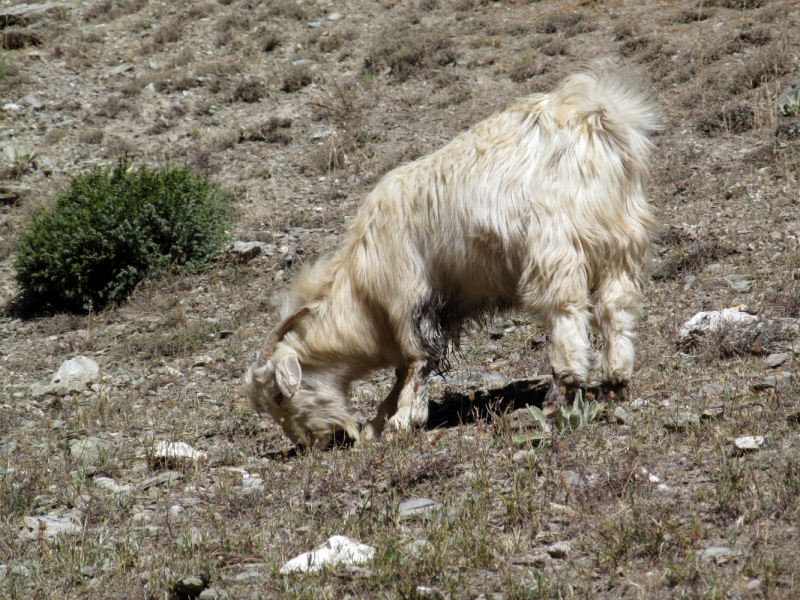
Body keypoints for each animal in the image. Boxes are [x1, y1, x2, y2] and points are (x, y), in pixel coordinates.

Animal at [247, 68, 660, 448]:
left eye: (280, 396)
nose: (310, 443)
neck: (363, 288)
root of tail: (594, 117)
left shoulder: (412, 300)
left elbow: (418, 362)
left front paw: (401, 421)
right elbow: (404, 371)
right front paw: (377, 423)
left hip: (556, 246)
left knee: (568, 315)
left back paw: (558, 395)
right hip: (620, 240)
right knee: (617, 307)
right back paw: (615, 381)